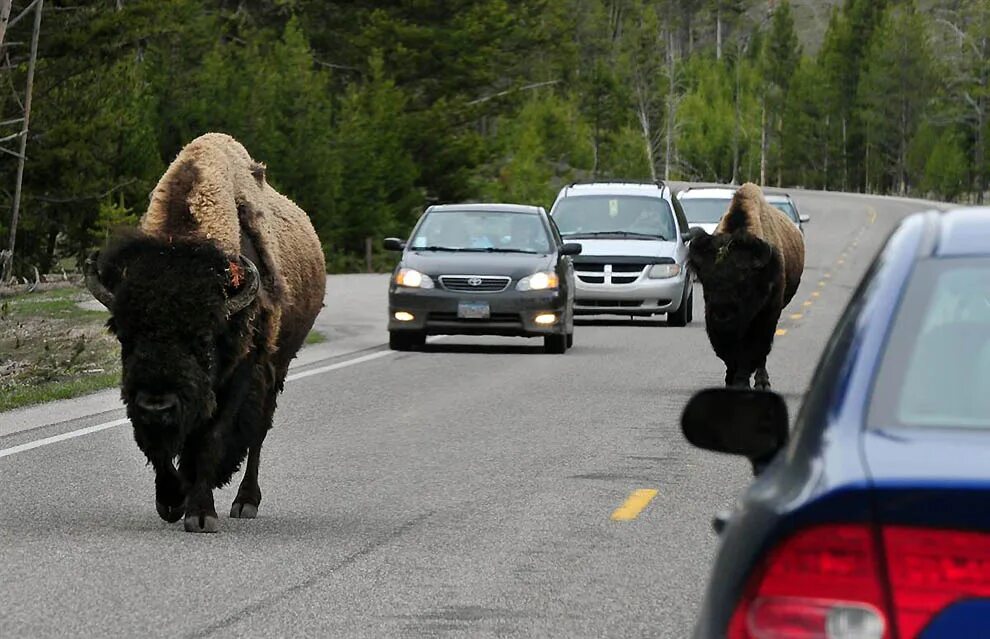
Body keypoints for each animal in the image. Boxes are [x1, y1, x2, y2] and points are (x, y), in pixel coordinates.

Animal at [85, 132, 326, 532]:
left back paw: (245, 502)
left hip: (278, 367)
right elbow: (161, 447)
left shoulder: (241, 372)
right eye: (125, 336)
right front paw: (170, 501)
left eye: (203, 338)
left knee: (258, 432)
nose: (156, 404)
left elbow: (212, 437)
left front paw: (201, 514)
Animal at [688, 182, 808, 388]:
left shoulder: (765, 315)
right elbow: (728, 354)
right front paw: (730, 380)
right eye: (706, 280)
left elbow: (752, 351)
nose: (722, 314)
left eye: (744, 280)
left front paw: (742, 382)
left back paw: (762, 382)